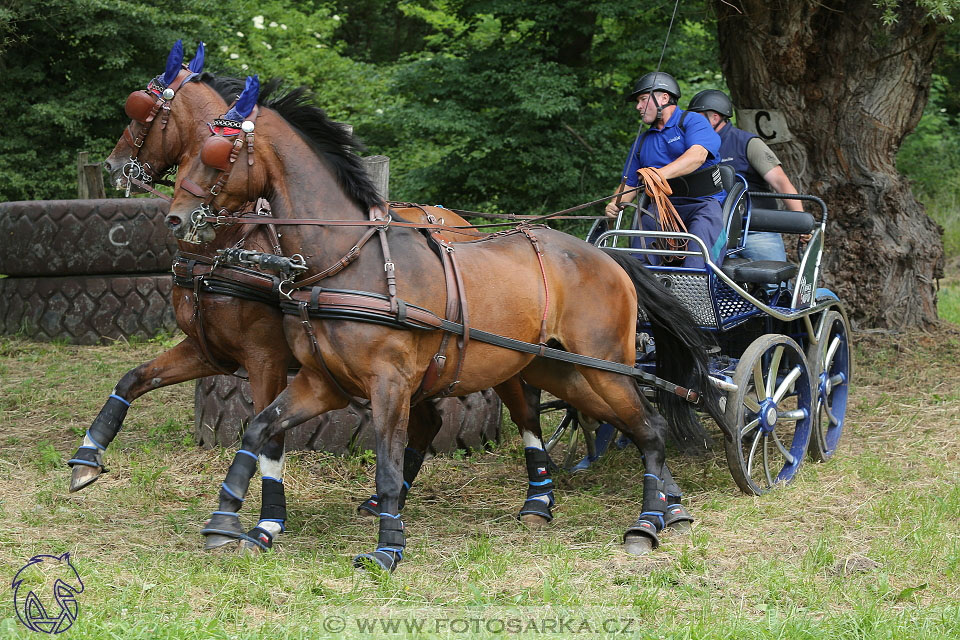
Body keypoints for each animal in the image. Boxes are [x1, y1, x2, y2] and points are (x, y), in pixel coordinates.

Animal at [163, 75, 720, 568]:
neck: (349, 260)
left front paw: (388, 548)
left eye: (216, 152)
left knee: (649, 428)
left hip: (604, 367)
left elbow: (388, 468)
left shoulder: (388, 384)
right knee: (633, 426)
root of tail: (610, 257)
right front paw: (225, 519)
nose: (176, 217)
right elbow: (258, 428)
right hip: (564, 372)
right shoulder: (323, 382)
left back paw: (647, 523)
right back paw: (664, 508)